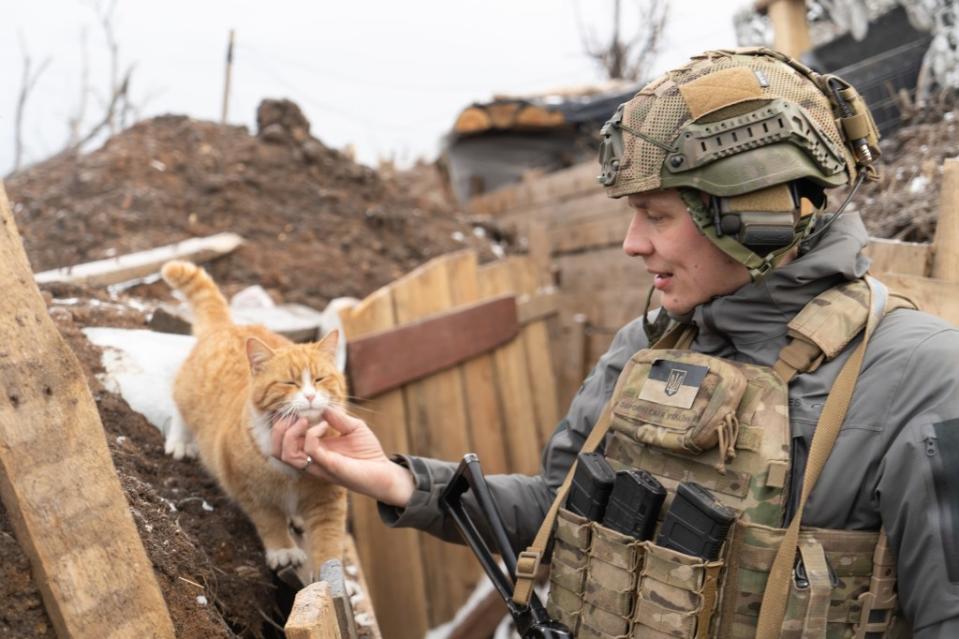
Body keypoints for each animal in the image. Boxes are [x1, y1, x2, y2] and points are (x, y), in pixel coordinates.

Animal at [161, 258, 348, 576]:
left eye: (320, 379)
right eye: (289, 383)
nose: (310, 396)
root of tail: (228, 326)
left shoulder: (328, 499)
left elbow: (328, 538)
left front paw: (329, 573)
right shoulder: (251, 491)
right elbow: (270, 521)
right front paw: (284, 551)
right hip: (187, 392)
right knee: (178, 403)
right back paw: (180, 442)